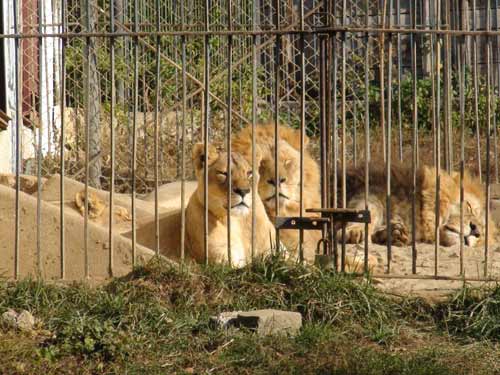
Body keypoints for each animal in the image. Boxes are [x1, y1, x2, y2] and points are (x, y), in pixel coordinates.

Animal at [338, 162, 498, 248]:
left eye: (482, 234)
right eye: (469, 206)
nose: (475, 230)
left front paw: (394, 234)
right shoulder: (370, 190)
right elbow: (370, 210)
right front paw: (355, 231)